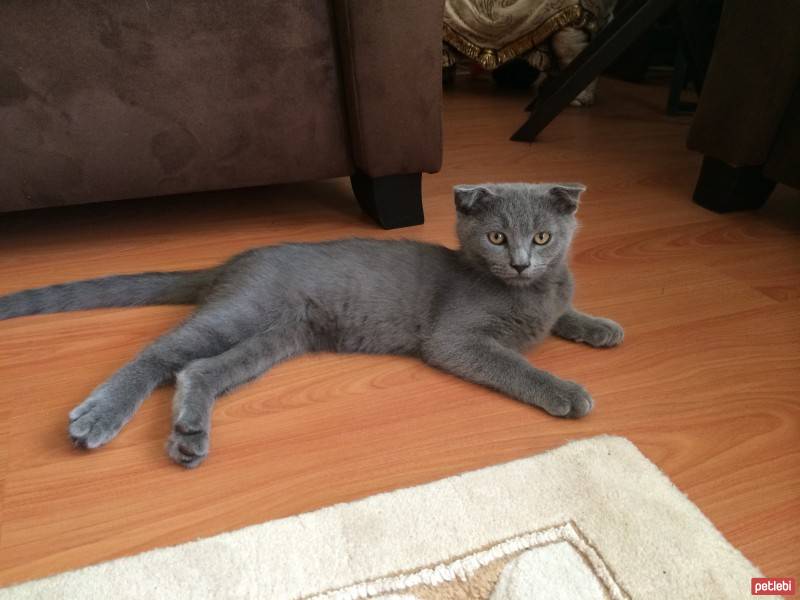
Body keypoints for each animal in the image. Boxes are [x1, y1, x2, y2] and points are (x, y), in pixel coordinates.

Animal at [0, 184, 620, 468]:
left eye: (542, 237)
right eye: (496, 237)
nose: (520, 262)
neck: (529, 292)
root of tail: (236, 259)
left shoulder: (550, 301)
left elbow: (565, 315)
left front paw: (600, 327)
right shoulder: (456, 340)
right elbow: (515, 364)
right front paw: (567, 391)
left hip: (276, 337)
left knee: (197, 370)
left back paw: (189, 433)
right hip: (244, 312)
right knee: (159, 354)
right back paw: (99, 416)